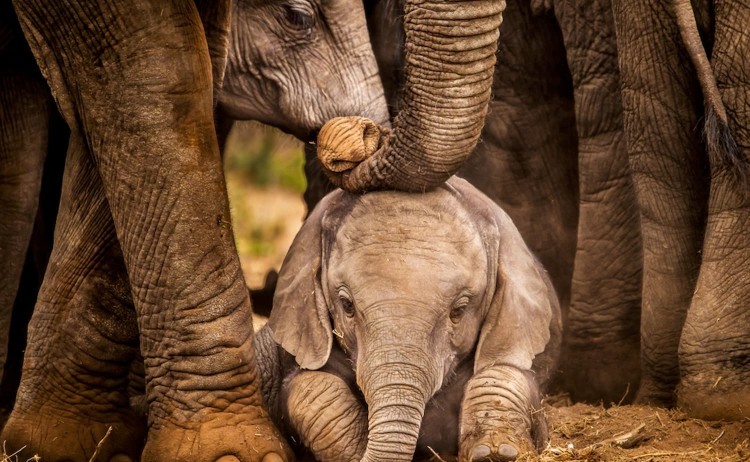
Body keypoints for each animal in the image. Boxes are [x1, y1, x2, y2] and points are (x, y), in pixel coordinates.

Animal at [257, 168, 561, 462]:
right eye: (346, 305)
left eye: (459, 311)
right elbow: (311, 386)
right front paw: (355, 450)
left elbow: (504, 373)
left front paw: (494, 453)